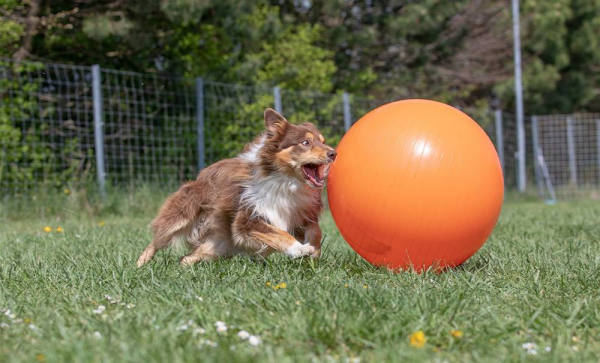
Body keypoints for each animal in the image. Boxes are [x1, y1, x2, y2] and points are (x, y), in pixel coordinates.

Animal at [137, 108, 340, 268]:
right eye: (306, 142)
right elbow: (279, 233)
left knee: (187, 258)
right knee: (159, 238)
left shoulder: (301, 214)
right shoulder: (246, 219)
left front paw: (314, 252)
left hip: (217, 246)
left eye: (322, 141)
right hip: (183, 213)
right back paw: (140, 263)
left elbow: (316, 230)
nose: (333, 153)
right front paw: (299, 249)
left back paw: (183, 267)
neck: (286, 182)